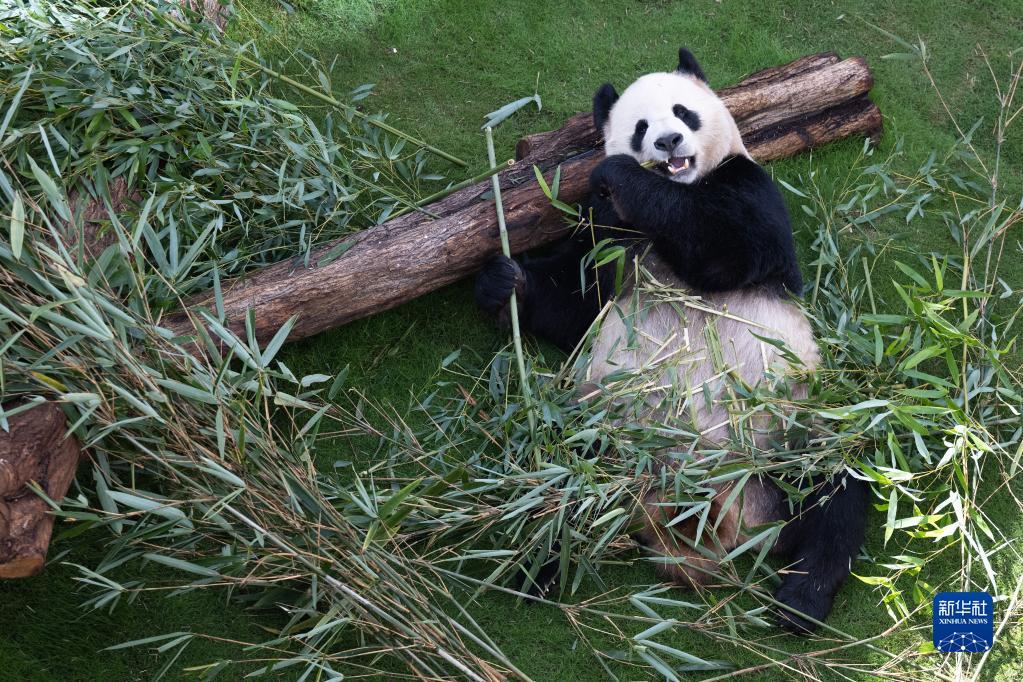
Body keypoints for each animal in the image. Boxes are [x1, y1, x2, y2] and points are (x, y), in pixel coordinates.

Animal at [474, 49, 867, 633]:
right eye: (640, 126)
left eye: (684, 111)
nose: (667, 141)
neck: (678, 188)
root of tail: (709, 519)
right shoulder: (604, 232)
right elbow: (574, 298)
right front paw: (505, 282)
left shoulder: (750, 189)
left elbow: (727, 247)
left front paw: (620, 176)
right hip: (599, 433)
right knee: (561, 484)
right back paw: (536, 563)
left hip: (792, 428)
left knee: (837, 487)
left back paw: (803, 599)